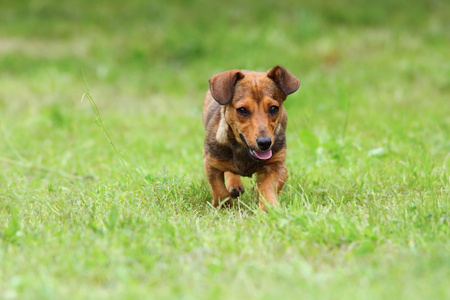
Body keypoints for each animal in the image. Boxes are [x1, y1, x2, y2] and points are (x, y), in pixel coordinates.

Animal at [202, 65, 300, 211]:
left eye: (273, 108)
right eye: (242, 110)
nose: (265, 143)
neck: (244, 151)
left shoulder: (278, 165)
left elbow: (267, 186)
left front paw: (268, 207)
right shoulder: (211, 163)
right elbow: (219, 191)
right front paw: (224, 207)